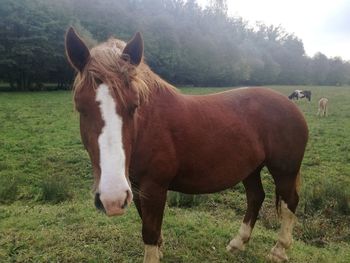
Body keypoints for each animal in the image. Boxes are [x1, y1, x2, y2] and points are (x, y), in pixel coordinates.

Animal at [64, 27, 308, 262]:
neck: (148, 124)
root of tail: (291, 106)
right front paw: (160, 248)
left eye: (134, 106)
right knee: (256, 197)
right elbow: (149, 226)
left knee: (289, 203)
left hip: (284, 170)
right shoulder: (136, 187)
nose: (112, 198)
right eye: (80, 107)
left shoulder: (154, 187)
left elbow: (149, 231)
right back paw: (238, 243)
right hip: (251, 168)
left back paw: (279, 250)